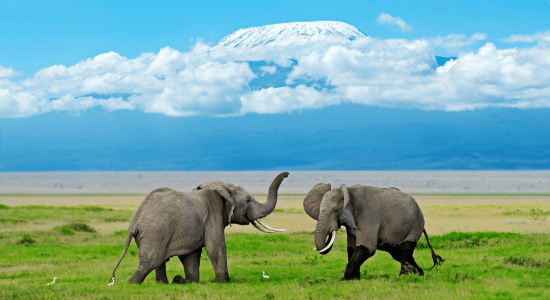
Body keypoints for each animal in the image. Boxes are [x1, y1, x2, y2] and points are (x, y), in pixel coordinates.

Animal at [112, 171, 294, 284]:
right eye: (248, 200)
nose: (287, 174)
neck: (222, 188)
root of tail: (134, 222)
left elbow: (192, 255)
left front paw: (188, 281)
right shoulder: (212, 217)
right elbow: (216, 248)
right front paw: (226, 283)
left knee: (158, 262)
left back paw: (166, 283)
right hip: (156, 233)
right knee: (150, 262)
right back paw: (131, 284)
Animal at [302, 183, 444, 282]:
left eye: (336, 211)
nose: (331, 231)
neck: (348, 191)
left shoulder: (368, 216)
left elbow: (367, 248)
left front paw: (344, 280)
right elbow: (352, 248)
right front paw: (353, 280)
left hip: (415, 225)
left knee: (405, 251)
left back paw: (404, 278)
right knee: (401, 254)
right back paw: (419, 275)